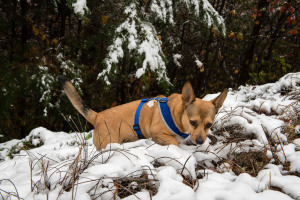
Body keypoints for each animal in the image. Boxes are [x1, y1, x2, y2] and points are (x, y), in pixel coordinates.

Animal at [59, 76, 227, 150]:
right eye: (193, 122)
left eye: (209, 125)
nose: (199, 141)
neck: (175, 114)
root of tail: (98, 116)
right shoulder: (158, 133)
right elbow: (174, 143)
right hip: (109, 143)